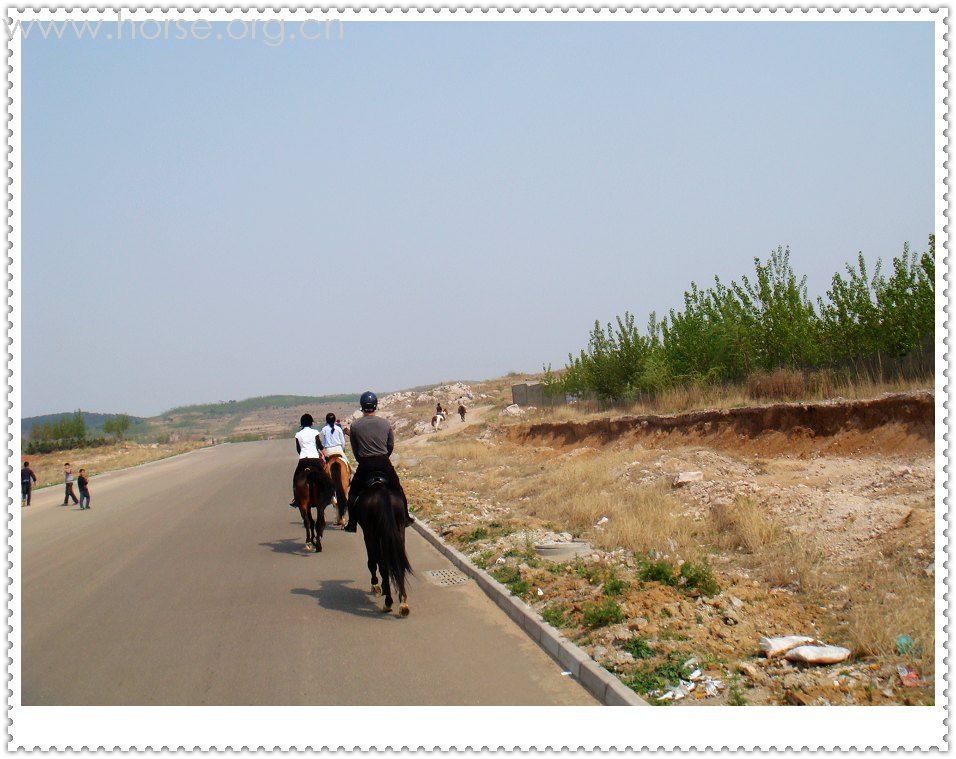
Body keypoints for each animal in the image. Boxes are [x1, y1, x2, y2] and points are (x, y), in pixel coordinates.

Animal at [352, 480, 408, 616]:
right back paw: (403, 603)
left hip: (372, 534)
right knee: (399, 563)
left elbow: (372, 562)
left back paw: (388, 603)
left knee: (383, 566)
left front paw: (376, 586)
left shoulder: (368, 535)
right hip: (399, 531)